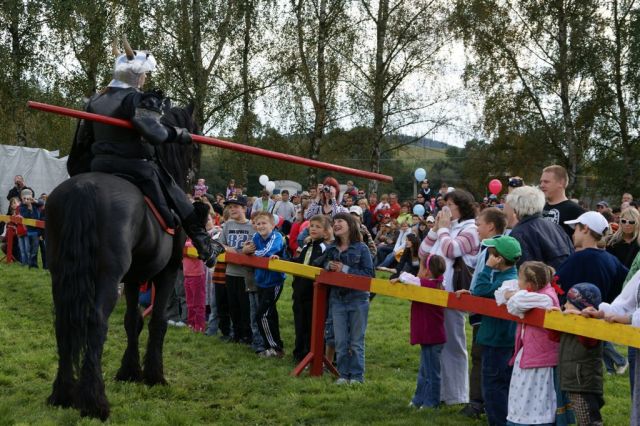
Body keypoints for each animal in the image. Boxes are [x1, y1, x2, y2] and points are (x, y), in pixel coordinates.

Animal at [45, 105, 200, 420]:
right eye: (194, 145)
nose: (195, 176)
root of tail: (85, 188)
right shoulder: (168, 272)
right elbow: (157, 322)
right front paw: (153, 375)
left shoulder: (133, 277)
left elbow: (132, 321)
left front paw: (129, 371)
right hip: (106, 275)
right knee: (95, 322)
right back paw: (95, 403)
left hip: (61, 272)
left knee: (64, 321)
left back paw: (63, 394)